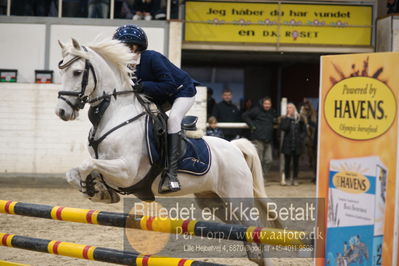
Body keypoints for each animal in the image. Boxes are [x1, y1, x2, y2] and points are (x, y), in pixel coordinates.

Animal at [55, 38, 282, 264]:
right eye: (61, 71)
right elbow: (75, 172)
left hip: (237, 197)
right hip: (214, 201)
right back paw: (253, 254)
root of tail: (234, 147)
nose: (61, 112)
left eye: (77, 72)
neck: (117, 114)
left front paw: (95, 189)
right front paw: (97, 191)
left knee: (257, 227)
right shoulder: (108, 165)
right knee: (244, 229)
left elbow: (87, 165)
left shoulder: (127, 171)